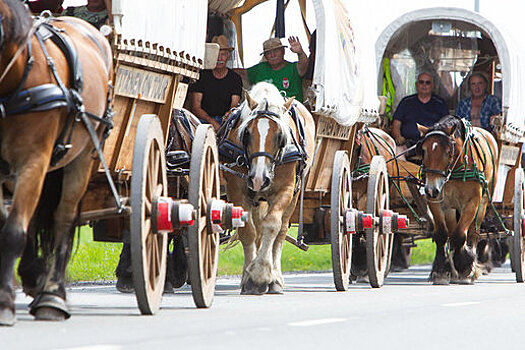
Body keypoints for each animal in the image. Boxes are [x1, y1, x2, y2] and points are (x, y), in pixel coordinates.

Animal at [0, 0, 112, 326]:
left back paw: (53, 296)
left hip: (84, 157)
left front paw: (5, 303)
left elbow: (12, 231)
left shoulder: (33, 160)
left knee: (63, 216)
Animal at [218, 82, 314, 296]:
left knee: (281, 230)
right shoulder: (238, 191)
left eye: (280, 136)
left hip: (294, 195)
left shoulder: (285, 189)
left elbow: (272, 225)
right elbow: (248, 231)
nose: (259, 179)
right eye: (246, 133)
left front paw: (262, 275)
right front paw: (249, 277)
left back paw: (275, 277)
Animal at [416, 115, 498, 284]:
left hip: (483, 203)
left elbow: (460, 234)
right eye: (424, 150)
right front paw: (440, 271)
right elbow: (442, 234)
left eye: (448, 151)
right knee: (451, 232)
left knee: (474, 233)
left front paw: (464, 268)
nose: (431, 189)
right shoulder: (436, 202)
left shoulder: (472, 202)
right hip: (451, 208)